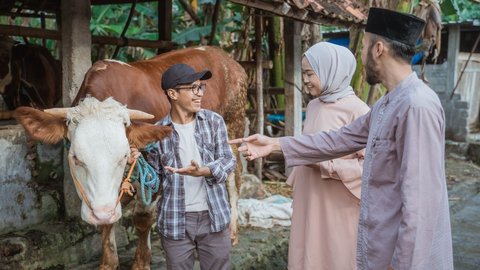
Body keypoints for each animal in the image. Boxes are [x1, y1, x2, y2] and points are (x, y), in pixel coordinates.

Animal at [15, 45, 248, 268]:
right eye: (75, 157)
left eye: (124, 155)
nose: (100, 212)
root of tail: (227, 59)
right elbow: (109, 220)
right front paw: (108, 262)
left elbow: (143, 217)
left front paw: (141, 262)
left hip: (233, 126)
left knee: (233, 177)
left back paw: (231, 233)